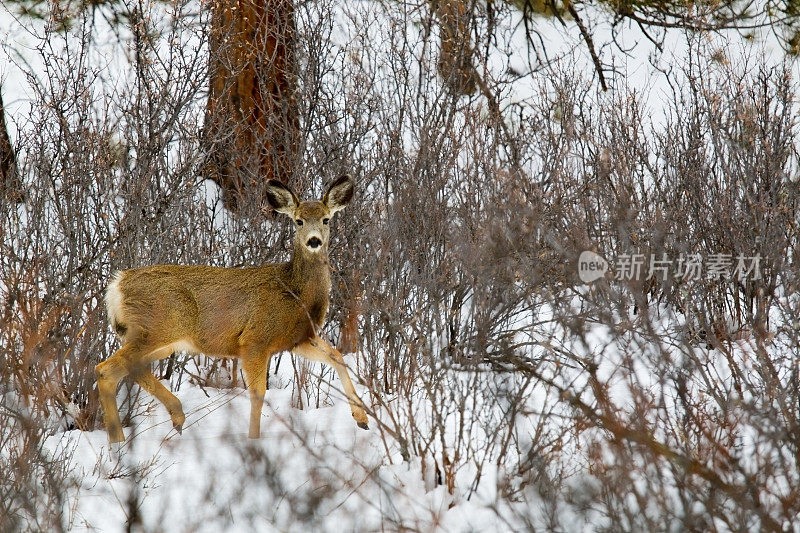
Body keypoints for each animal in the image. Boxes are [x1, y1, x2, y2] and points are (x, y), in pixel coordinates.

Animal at [97, 177, 368, 442]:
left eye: (326, 219)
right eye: (298, 220)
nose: (314, 240)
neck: (296, 293)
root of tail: (117, 285)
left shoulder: (298, 339)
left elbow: (338, 357)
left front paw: (362, 418)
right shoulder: (254, 340)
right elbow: (257, 394)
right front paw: (253, 441)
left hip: (160, 340)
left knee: (121, 371)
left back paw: (136, 434)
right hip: (157, 328)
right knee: (106, 369)